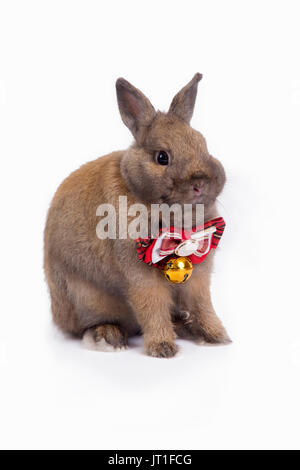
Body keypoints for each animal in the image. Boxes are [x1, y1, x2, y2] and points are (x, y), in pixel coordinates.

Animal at [44, 73, 230, 358]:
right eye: (162, 157)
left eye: (203, 145)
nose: (200, 182)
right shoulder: (140, 275)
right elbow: (152, 306)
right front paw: (163, 348)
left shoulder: (198, 274)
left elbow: (202, 304)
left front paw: (217, 337)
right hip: (85, 300)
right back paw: (108, 337)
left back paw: (185, 325)